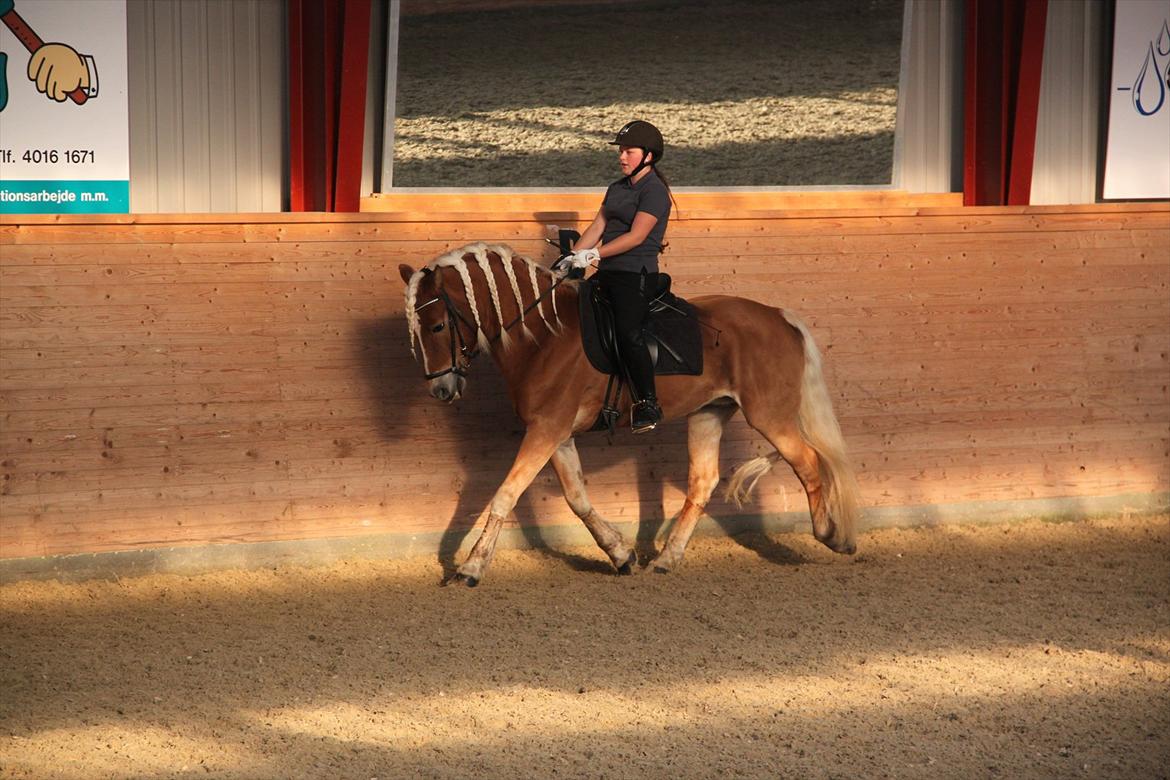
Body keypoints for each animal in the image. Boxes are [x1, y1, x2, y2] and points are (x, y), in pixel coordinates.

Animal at [397, 242, 865, 584]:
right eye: (414, 331)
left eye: (437, 325)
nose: (441, 389)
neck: (544, 337)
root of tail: (778, 317)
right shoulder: (556, 433)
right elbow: (578, 499)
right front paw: (621, 554)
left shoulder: (546, 429)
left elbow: (505, 495)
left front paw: (471, 567)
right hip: (709, 412)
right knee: (703, 482)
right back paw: (667, 559)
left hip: (769, 415)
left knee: (808, 461)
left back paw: (831, 536)